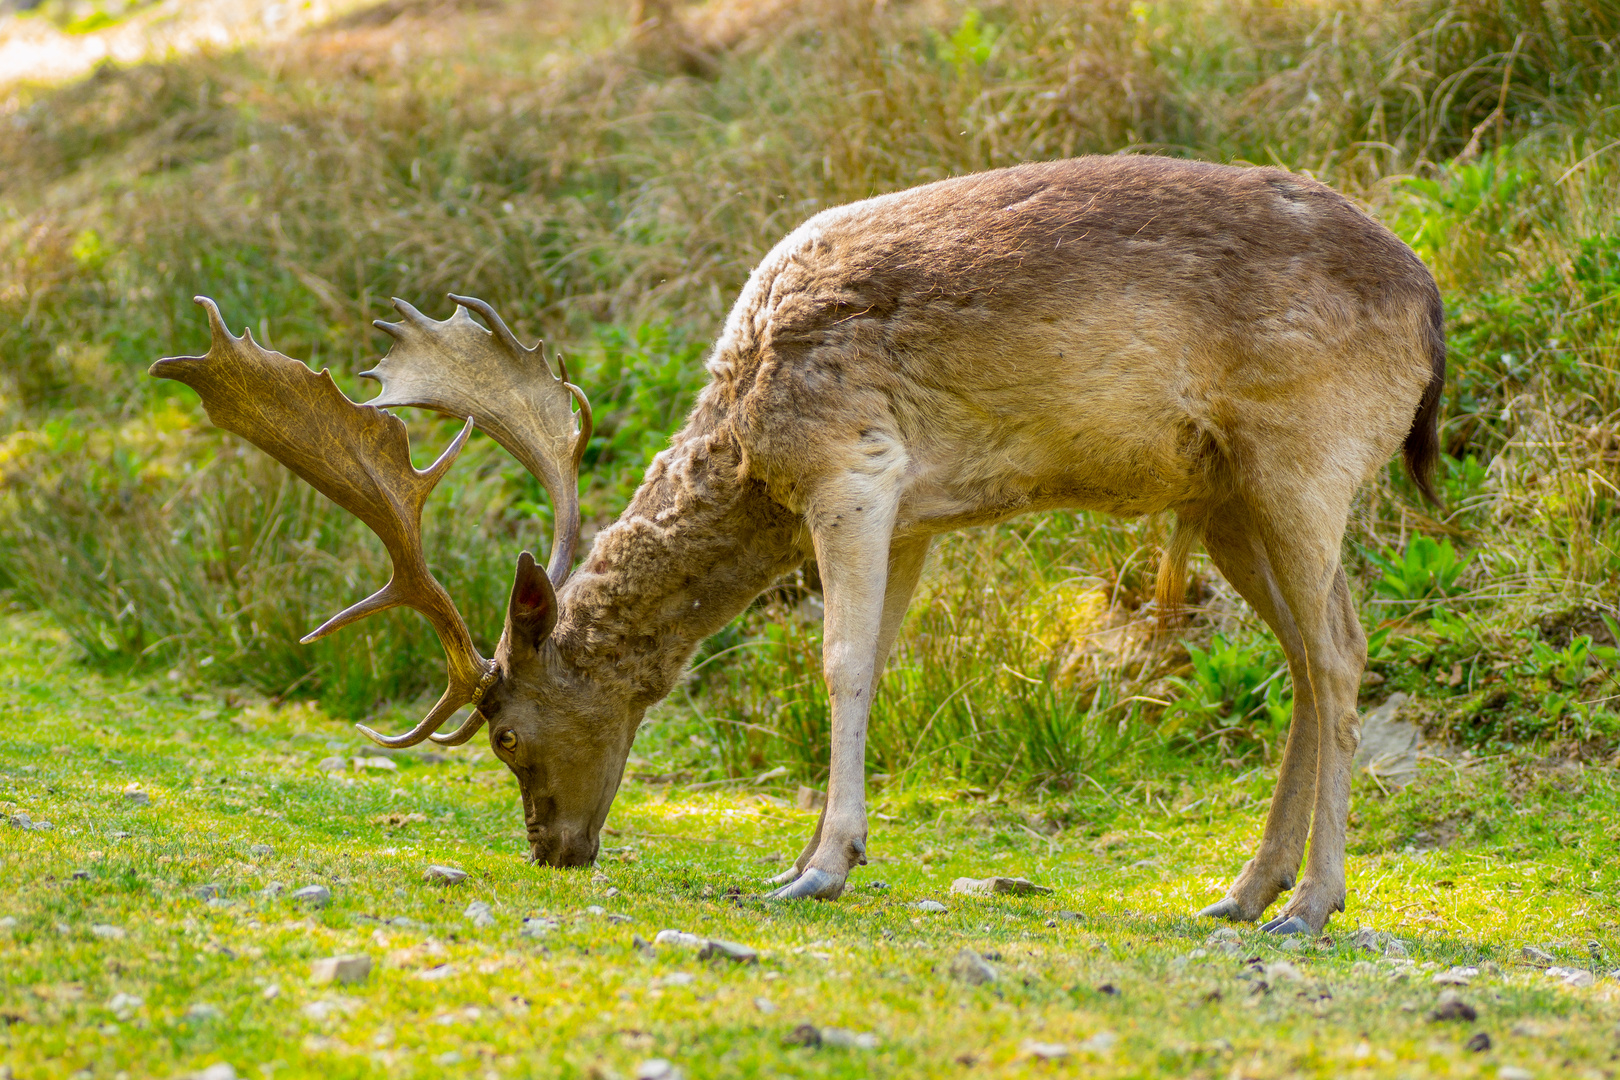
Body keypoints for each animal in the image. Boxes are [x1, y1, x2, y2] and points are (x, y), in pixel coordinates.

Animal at [152, 153, 1445, 939]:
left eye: (507, 735)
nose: (554, 850)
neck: (748, 437)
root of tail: (1436, 313)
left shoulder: (852, 467)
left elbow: (844, 664)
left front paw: (817, 864)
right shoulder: (917, 512)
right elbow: (878, 653)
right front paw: (825, 852)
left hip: (1304, 452)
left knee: (1339, 650)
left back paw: (1312, 902)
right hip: (1225, 497)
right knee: (1310, 657)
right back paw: (1243, 891)